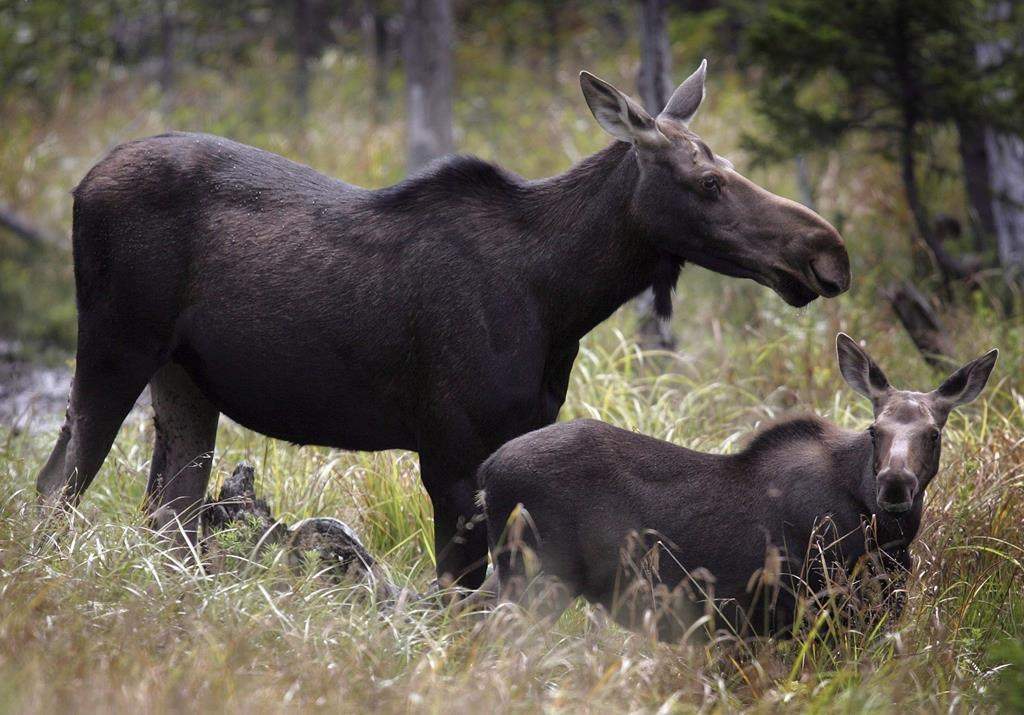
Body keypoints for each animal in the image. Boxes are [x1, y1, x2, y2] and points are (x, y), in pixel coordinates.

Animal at [36, 60, 849, 589]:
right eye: (708, 182)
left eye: (731, 165)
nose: (827, 251)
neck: (561, 296)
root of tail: (79, 183)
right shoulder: (452, 451)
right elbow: (458, 594)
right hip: (113, 345)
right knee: (57, 483)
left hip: (185, 380)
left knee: (165, 514)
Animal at [479, 334, 997, 637]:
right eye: (875, 430)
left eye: (934, 433)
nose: (893, 484)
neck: (889, 540)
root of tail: (486, 472)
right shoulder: (817, 609)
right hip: (535, 578)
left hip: (510, 572)